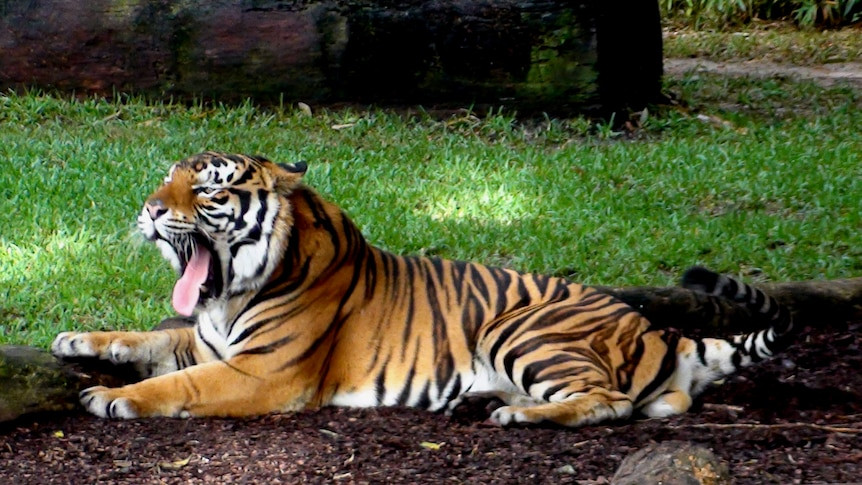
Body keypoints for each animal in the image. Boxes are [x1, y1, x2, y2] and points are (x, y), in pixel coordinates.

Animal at [52, 152, 796, 428]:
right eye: (167, 177)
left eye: (206, 188)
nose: (150, 209)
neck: (230, 290)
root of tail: (657, 328)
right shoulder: (207, 340)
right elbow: (149, 338)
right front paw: (76, 339)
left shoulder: (261, 371)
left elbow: (174, 384)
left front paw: (111, 396)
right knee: (658, 403)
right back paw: (489, 399)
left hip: (520, 328)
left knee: (610, 403)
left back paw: (518, 414)